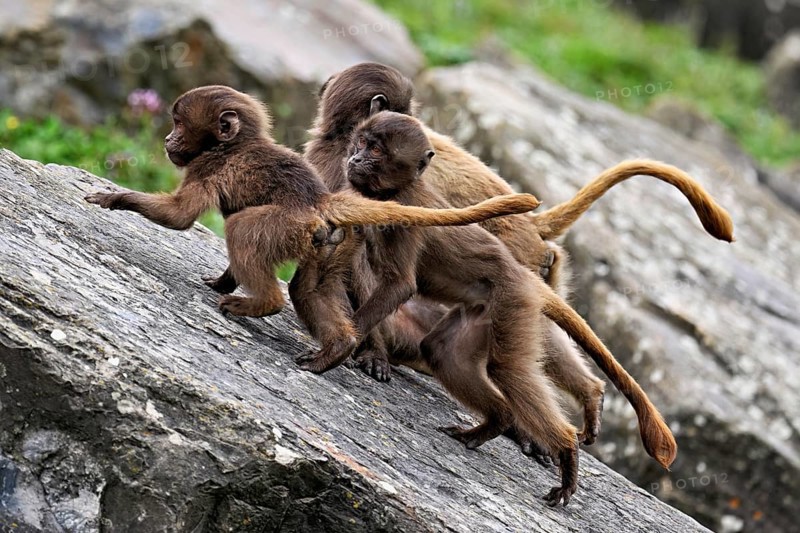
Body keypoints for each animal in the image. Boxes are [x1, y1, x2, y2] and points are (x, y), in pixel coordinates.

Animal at [84, 85, 540, 364]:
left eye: (179, 123)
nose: (167, 140)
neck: (234, 144)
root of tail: (319, 202)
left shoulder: (208, 168)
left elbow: (180, 217)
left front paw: (115, 198)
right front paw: (221, 281)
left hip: (286, 224)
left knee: (245, 232)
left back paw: (261, 304)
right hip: (330, 244)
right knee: (307, 289)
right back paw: (337, 349)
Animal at [304, 62, 733, 449]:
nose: (421, 127)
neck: (339, 135)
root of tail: (534, 226)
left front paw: (362, 348)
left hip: (517, 263)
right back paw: (577, 401)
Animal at [306, 110, 678, 506]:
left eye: (375, 149)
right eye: (361, 142)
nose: (354, 159)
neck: (399, 190)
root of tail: (524, 277)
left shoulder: (404, 220)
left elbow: (399, 285)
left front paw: (336, 350)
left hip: (513, 304)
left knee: (508, 370)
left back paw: (565, 451)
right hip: (483, 311)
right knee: (443, 352)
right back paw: (495, 423)